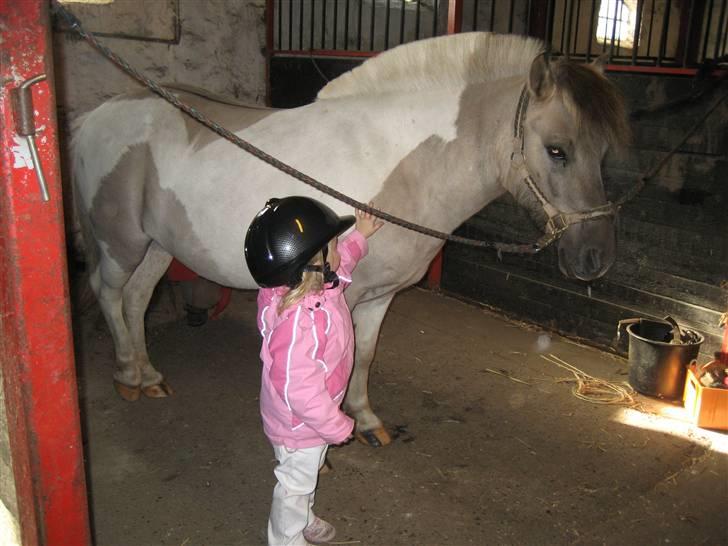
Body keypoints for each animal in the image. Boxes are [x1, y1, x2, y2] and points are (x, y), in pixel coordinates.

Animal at [71, 30, 628, 446]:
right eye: (556, 150)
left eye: (604, 152)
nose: (596, 257)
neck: (397, 161)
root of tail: (96, 115)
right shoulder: (344, 295)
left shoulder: (380, 297)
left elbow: (366, 353)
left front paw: (365, 419)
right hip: (120, 242)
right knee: (110, 293)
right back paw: (127, 375)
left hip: (157, 245)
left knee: (138, 298)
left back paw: (148, 376)